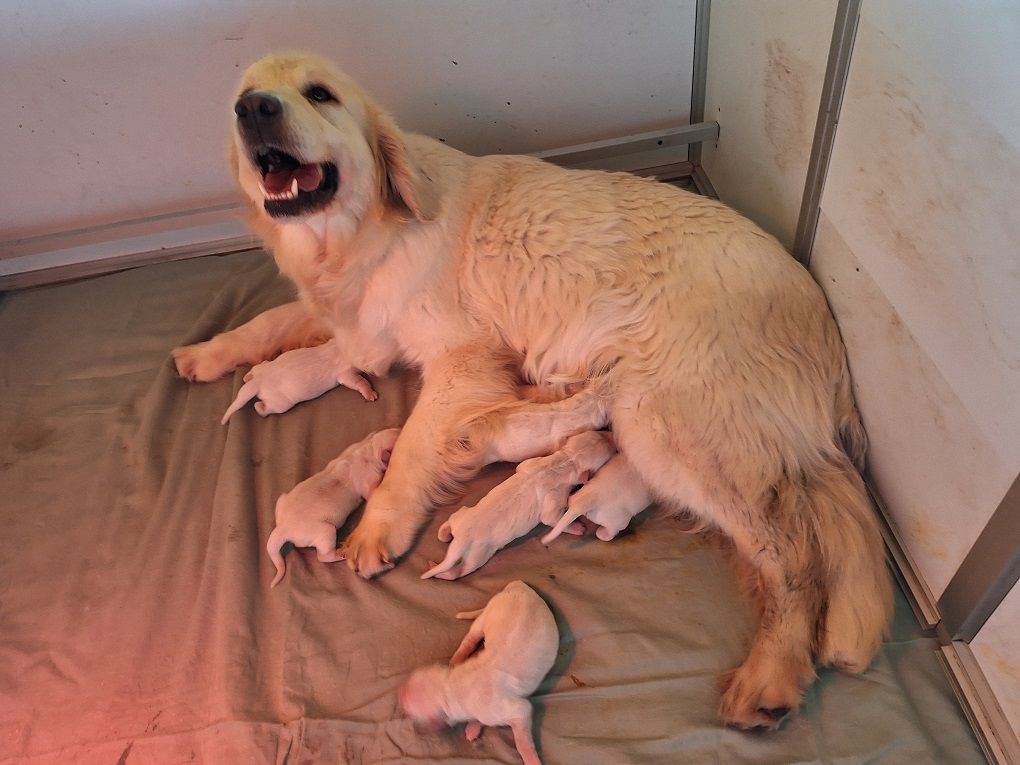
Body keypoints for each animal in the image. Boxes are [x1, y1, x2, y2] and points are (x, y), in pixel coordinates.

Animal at [221, 340, 377, 426]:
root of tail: (258, 382)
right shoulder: (344, 373)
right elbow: (357, 381)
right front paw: (370, 393)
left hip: (262, 368)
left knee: (255, 369)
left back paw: (247, 376)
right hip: (280, 403)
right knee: (265, 408)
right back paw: (259, 407)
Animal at [267, 432, 397, 587]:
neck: (369, 447)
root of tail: (282, 528)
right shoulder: (367, 479)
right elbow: (371, 491)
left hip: (282, 500)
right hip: (324, 531)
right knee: (323, 556)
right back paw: (340, 553)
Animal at [397, 579, 558, 765]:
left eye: (407, 706)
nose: (400, 692)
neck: (451, 684)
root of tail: (519, 585)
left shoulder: (517, 710)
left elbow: (522, 741)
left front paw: (531, 760)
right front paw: (473, 727)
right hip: (486, 615)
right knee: (470, 638)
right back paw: (456, 659)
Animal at [422, 432, 612, 579]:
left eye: (600, 432)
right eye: (610, 450)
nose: (611, 435)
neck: (568, 460)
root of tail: (461, 538)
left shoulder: (533, 462)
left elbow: (521, 466)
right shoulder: (555, 496)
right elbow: (551, 518)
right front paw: (577, 527)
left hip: (461, 515)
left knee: (449, 523)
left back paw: (444, 534)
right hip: (478, 553)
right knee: (462, 570)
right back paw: (443, 572)